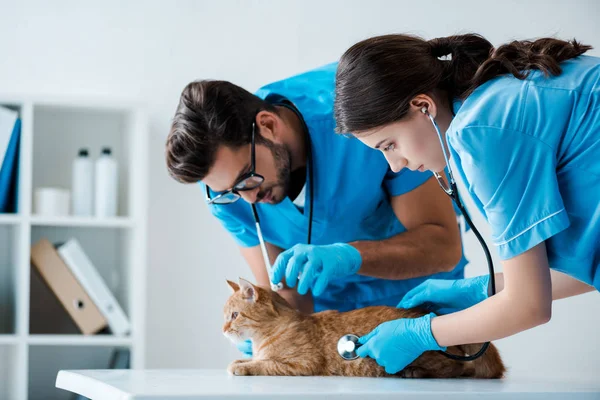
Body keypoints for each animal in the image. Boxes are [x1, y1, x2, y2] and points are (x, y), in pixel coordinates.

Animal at [223, 278, 504, 378]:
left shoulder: (303, 363)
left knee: (461, 367)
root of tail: (430, 315)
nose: (223, 329)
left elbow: (266, 364)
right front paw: (239, 361)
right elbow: (253, 359)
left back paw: (414, 372)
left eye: (234, 315)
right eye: (225, 316)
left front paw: (242, 367)